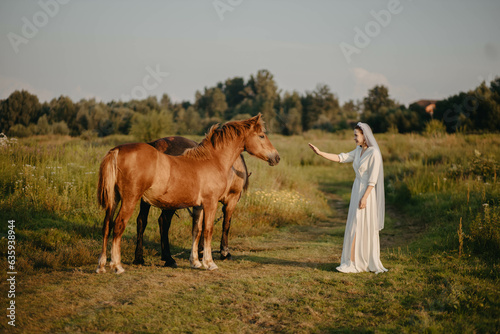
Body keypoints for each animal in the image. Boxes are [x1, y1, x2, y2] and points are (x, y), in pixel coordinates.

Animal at [134, 134, 249, 268]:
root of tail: (156, 145)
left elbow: (202, 225)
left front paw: (200, 251)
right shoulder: (231, 199)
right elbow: (226, 224)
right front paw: (224, 252)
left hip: (147, 198)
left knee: (142, 220)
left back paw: (139, 258)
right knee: (163, 221)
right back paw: (168, 258)